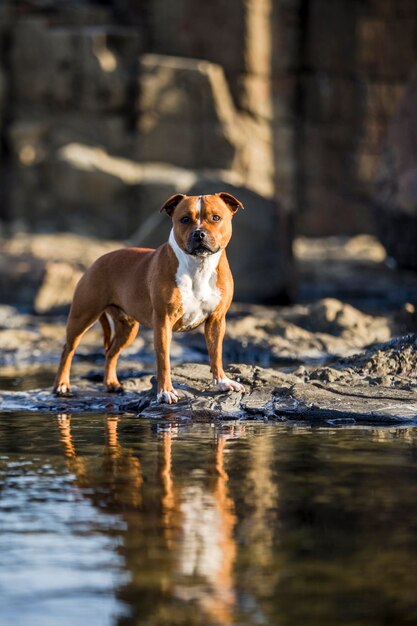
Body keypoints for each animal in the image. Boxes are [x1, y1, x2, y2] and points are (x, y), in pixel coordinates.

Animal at [53, 190, 245, 402]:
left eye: (216, 217)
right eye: (185, 219)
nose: (199, 233)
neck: (199, 265)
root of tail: (97, 260)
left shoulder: (216, 320)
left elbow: (216, 353)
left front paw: (223, 382)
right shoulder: (163, 322)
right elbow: (164, 359)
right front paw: (165, 391)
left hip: (127, 328)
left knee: (111, 352)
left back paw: (111, 383)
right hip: (82, 317)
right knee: (68, 349)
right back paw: (61, 385)